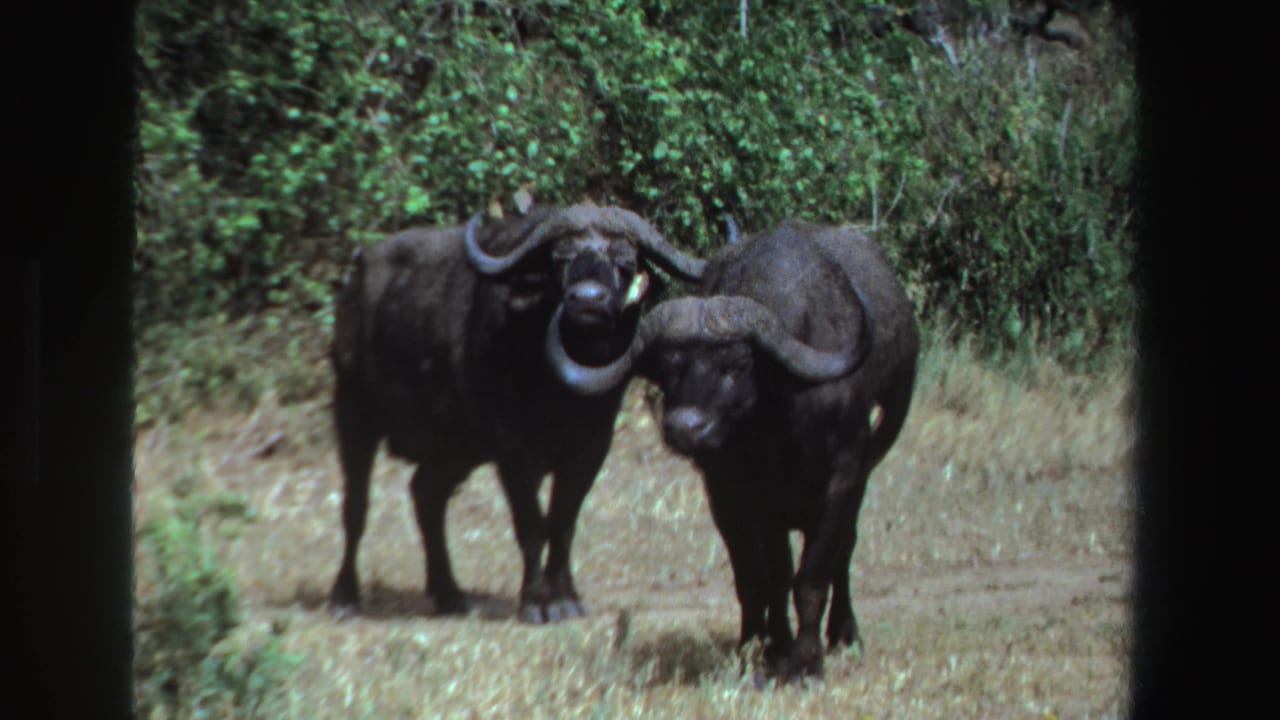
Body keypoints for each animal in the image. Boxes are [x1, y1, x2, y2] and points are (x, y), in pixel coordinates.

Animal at [328, 203, 705, 623]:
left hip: (456, 447)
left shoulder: (591, 446)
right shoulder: (514, 450)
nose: (587, 299)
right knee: (356, 506)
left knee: (426, 494)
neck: (562, 387)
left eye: (624, 261)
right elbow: (531, 525)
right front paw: (537, 602)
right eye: (560, 258)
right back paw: (345, 596)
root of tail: (356, 274)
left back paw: (450, 593)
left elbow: (563, 523)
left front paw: (565, 597)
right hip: (353, 410)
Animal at [555, 219, 919, 677]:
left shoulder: (844, 478)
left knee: (844, 549)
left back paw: (844, 633)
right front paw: (771, 649)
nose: (685, 427)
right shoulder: (740, 494)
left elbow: (813, 574)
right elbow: (765, 577)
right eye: (668, 367)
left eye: (739, 364)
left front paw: (807, 661)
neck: (780, 422)